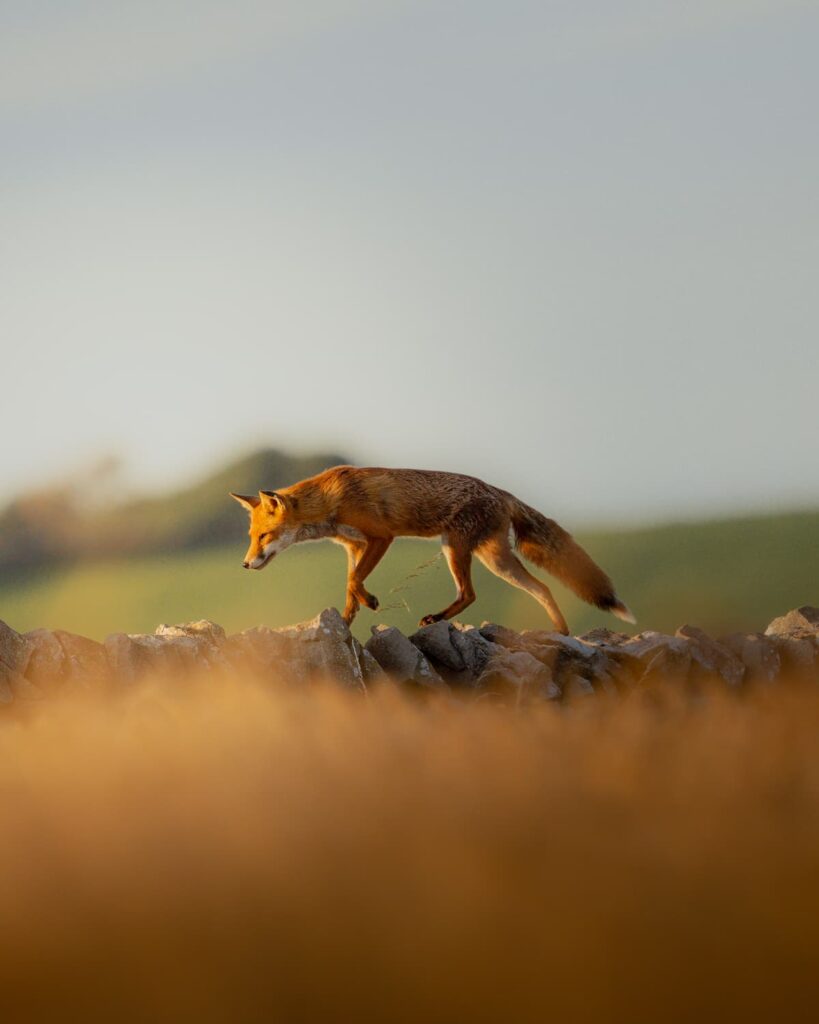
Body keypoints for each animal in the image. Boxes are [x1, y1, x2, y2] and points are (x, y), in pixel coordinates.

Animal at [227, 466, 634, 630]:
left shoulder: (380, 537)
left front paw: (370, 602)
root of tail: (500, 491)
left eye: (262, 537)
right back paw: (561, 632)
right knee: (543, 587)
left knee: (470, 594)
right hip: (494, 558)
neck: (330, 500)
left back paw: (436, 618)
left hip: (459, 549)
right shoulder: (353, 546)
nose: (245, 564)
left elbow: (356, 582)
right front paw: (344, 621)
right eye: (250, 537)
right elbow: (349, 587)